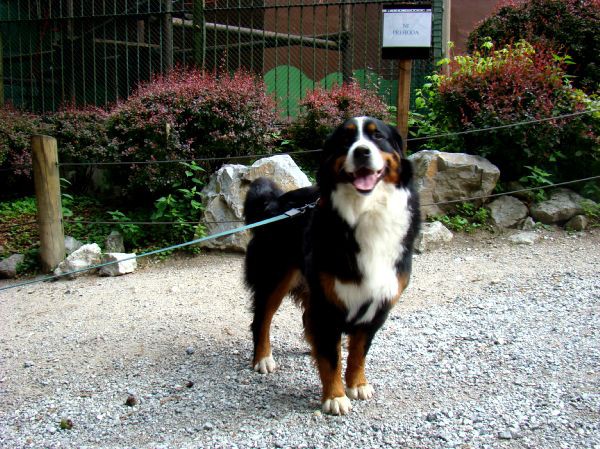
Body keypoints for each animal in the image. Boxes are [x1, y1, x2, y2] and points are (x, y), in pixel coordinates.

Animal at [241, 115, 420, 412]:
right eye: (346, 140)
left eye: (377, 137)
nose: (361, 152)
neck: (365, 212)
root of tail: (275, 202)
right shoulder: (326, 303)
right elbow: (330, 357)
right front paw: (335, 396)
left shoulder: (379, 301)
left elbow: (358, 351)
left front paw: (357, 384)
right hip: (275, 276)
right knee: (262, 319)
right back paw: (263, 359)